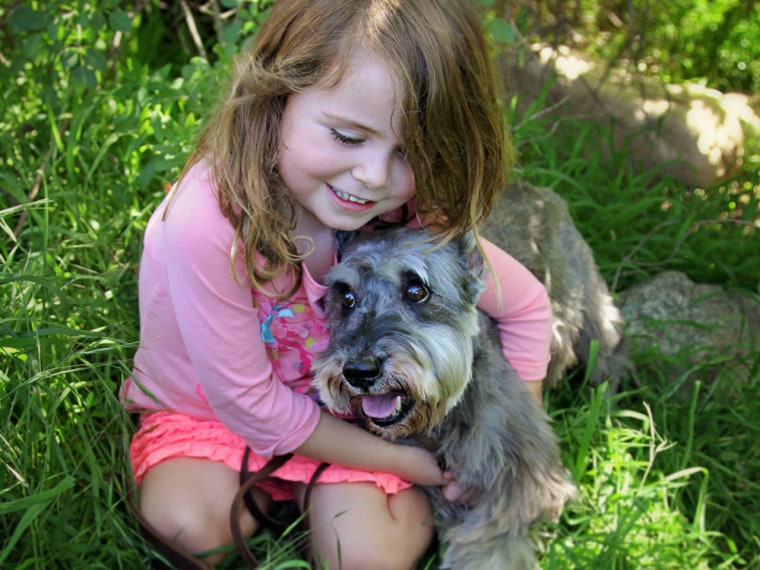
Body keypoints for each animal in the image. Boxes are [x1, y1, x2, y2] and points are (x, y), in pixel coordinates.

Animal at [312, 227, 580, 568]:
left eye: (416, 290)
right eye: (346, 297)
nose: (359, 371)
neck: (443, 420)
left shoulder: (526, 486)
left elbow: (491, 547)